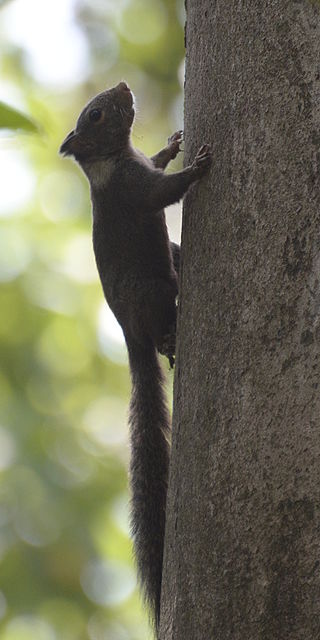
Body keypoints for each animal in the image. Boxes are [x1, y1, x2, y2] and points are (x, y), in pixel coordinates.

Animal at [60, 81, 212, 636]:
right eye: (96, 115)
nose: (124, 86)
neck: (113, 160)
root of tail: (130, 334)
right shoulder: (134, 189)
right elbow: (164, 193)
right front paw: (196, 167)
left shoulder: (139, 165)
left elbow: (158, 164)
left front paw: (172, 145)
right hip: (153, 295)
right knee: (163, 323)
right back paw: (168, 341)